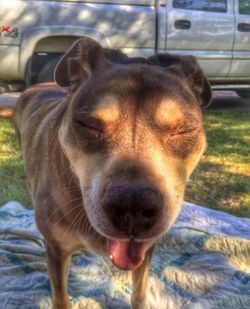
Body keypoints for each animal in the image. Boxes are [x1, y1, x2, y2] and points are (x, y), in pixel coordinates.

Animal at [13, 37, 212, 306]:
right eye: (88, 124)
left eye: (183, 130)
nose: (133, 207)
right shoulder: (56, 249)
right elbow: (61, 298)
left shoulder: (146, 249)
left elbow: (139, 291)